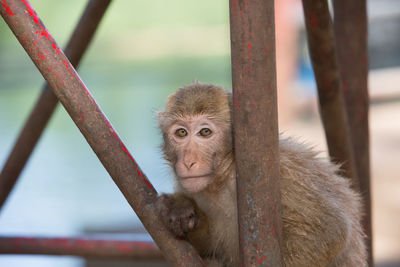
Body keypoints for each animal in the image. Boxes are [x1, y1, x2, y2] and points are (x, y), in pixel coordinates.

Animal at [155, 82, 366, 266]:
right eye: (181, 133)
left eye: (205, 132)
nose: (189, 161)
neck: (223, 178)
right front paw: (181, 209)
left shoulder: (278, 174)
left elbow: (330, 231)